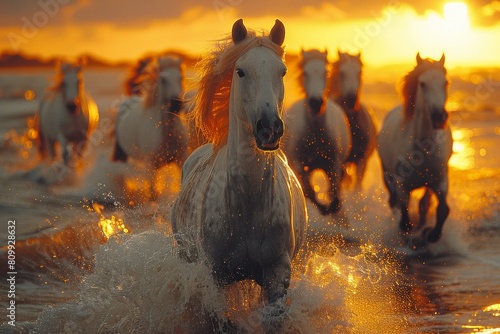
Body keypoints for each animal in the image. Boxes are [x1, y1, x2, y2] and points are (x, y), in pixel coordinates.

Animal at [112, 56, 188, 200]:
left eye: (181, 77)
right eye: (163, 79)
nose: (176, 104)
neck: (166, 135)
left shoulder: (181, 160)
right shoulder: (151, 167)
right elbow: (153, 195)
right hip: (121, 155)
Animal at [171, 18, 308, 306]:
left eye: (282, 71)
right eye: (241, 71)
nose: (269, 128)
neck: (248, 202)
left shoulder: (278, 275)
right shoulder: (214, 276)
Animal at [284, 48, 350, 215]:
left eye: (326, 72)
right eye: (305, 73)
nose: (315, 103)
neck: (316, 136)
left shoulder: (334, 165)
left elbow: (334, 195)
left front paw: (331, 208)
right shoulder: (300, 166)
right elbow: (309, 192)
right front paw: (324, 208)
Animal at [328, 51, 376, 189]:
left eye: (360, 72)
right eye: (342, 73)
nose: (351, 99)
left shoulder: (362, 161)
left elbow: (357, 188)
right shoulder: (340, 164)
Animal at [376, 52, 452, 243]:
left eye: (445, 82)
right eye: (422, 83)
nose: (439, 117)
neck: (422, 149)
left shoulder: (440, 182)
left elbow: (442, 210)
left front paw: (432, 235)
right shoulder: (402, 185)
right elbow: (404, 219)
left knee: (424, 204)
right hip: (387, 175)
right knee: (393, 202)